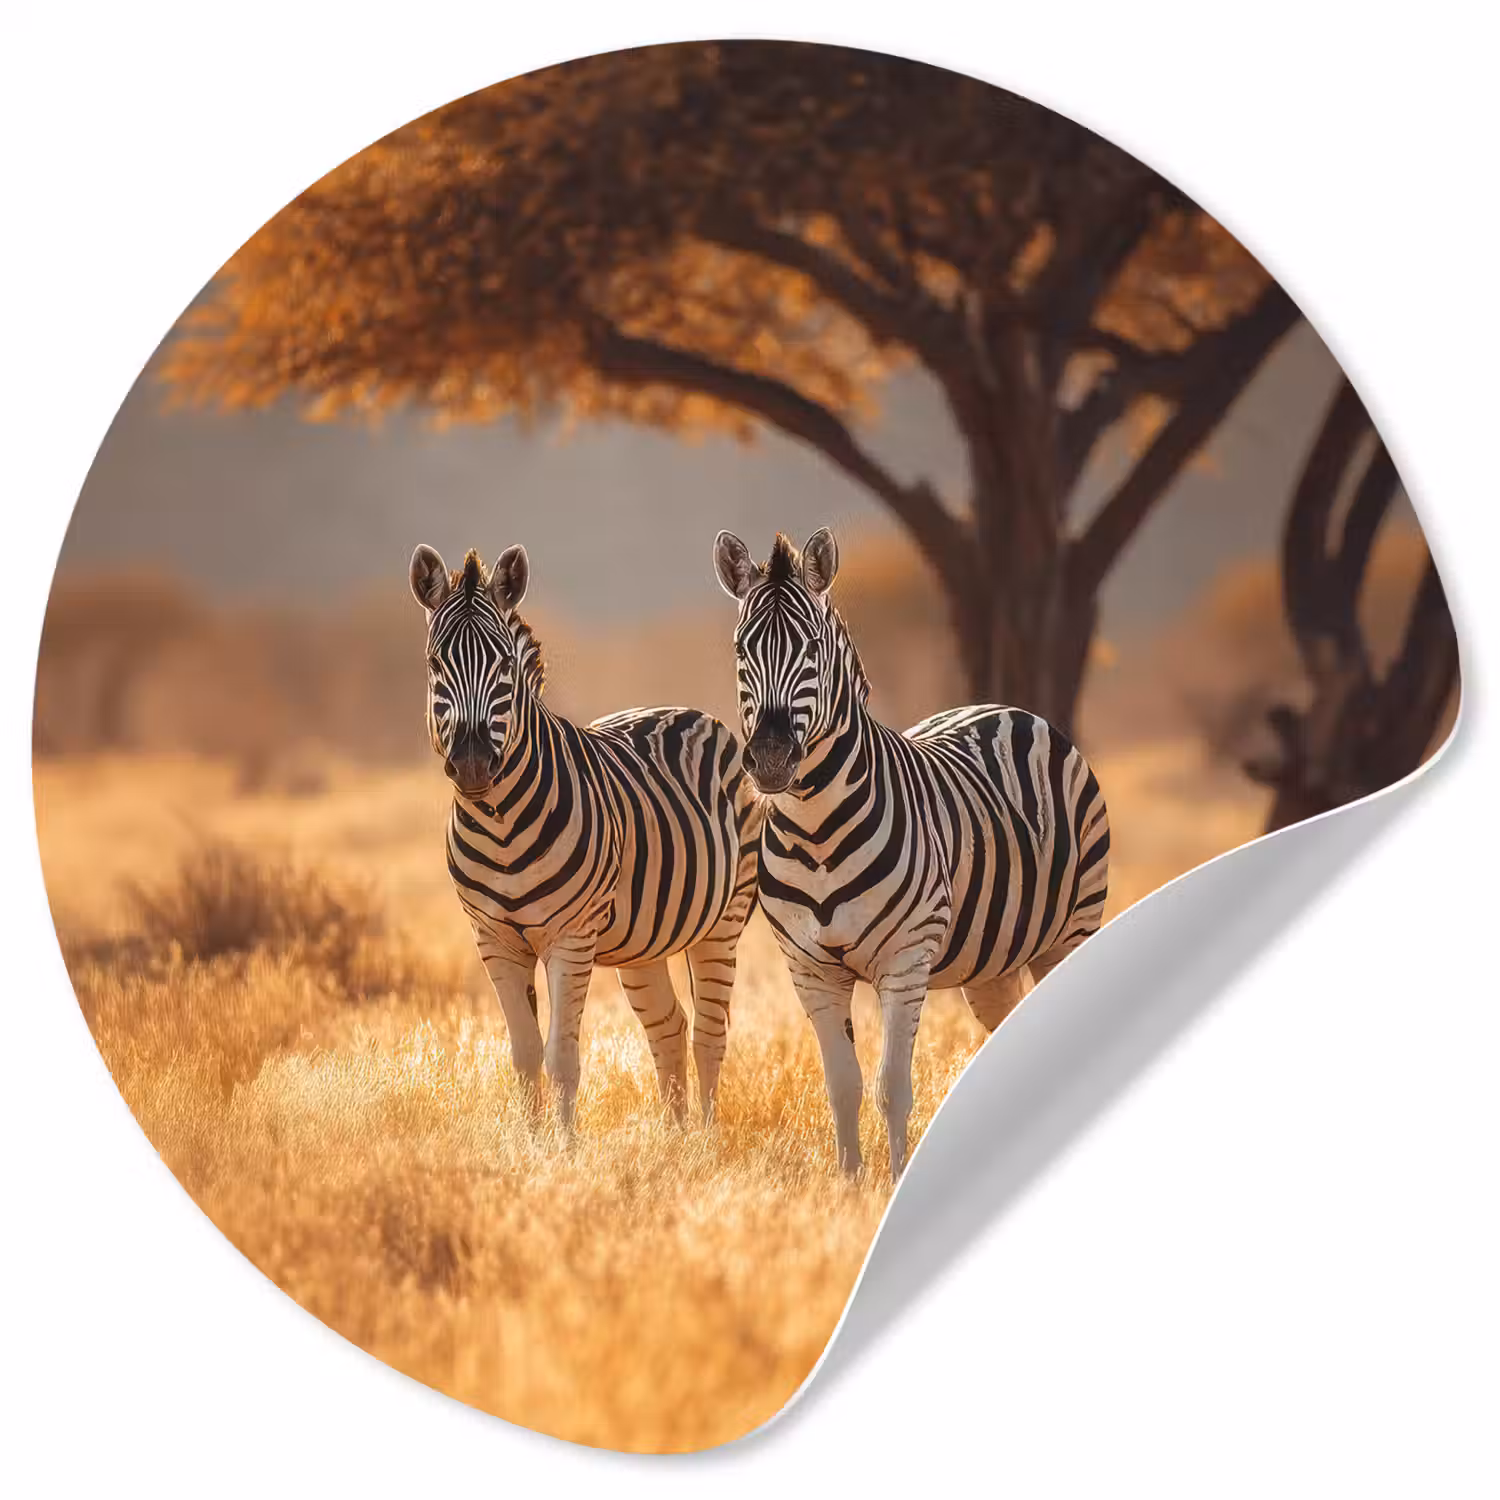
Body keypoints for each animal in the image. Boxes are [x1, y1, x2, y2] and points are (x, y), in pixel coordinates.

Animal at [410, 543, 761, 1129]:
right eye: (436, 663)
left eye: (505, 665)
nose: (473, 763)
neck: (500, 825)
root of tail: (685, 710)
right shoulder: (493, 940)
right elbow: (524, 1055)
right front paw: (530, 1145)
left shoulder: (570, 938)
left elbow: (561, 1058)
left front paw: (564, 1147)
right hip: (645, 941)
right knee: (669, 1027)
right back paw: (674, 1140)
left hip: (724, 920)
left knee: (710, 1036)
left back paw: (706, 1142)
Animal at [713, 527, 1110, 1178]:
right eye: (743, 650)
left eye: (813, 649)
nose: (770, 758)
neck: (816, 833)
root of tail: (1005, 707)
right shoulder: (809, 969)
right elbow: (842, 1085)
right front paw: (849, 1184)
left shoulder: (905, 960)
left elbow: (891, 1087)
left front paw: (896, 1180)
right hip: (993, 960)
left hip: (1071, 930)